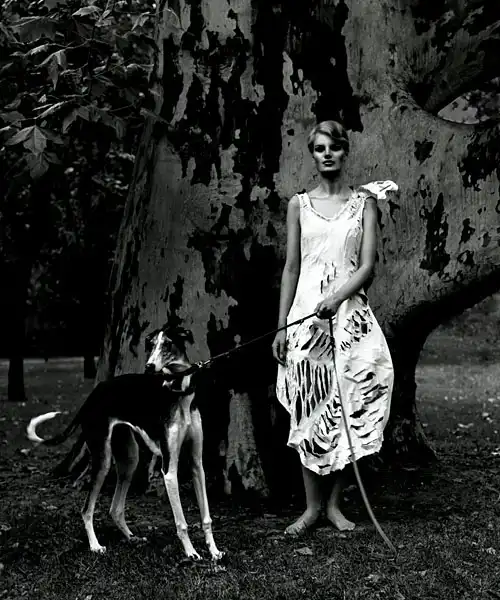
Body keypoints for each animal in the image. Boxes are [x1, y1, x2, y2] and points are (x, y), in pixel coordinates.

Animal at [26, 324, 223, 561]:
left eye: (167, 344)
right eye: (152, 344)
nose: (149, 366)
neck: (178, 392)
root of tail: (94, 393)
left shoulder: (196, 464)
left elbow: (206, 517)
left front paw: (214, 550)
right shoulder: (169, 469)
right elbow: (181, 522)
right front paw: (191, 552)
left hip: (129, 459)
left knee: (115, 509)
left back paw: (131, 537)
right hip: (103, 459)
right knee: (86, 509)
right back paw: (95, 545)